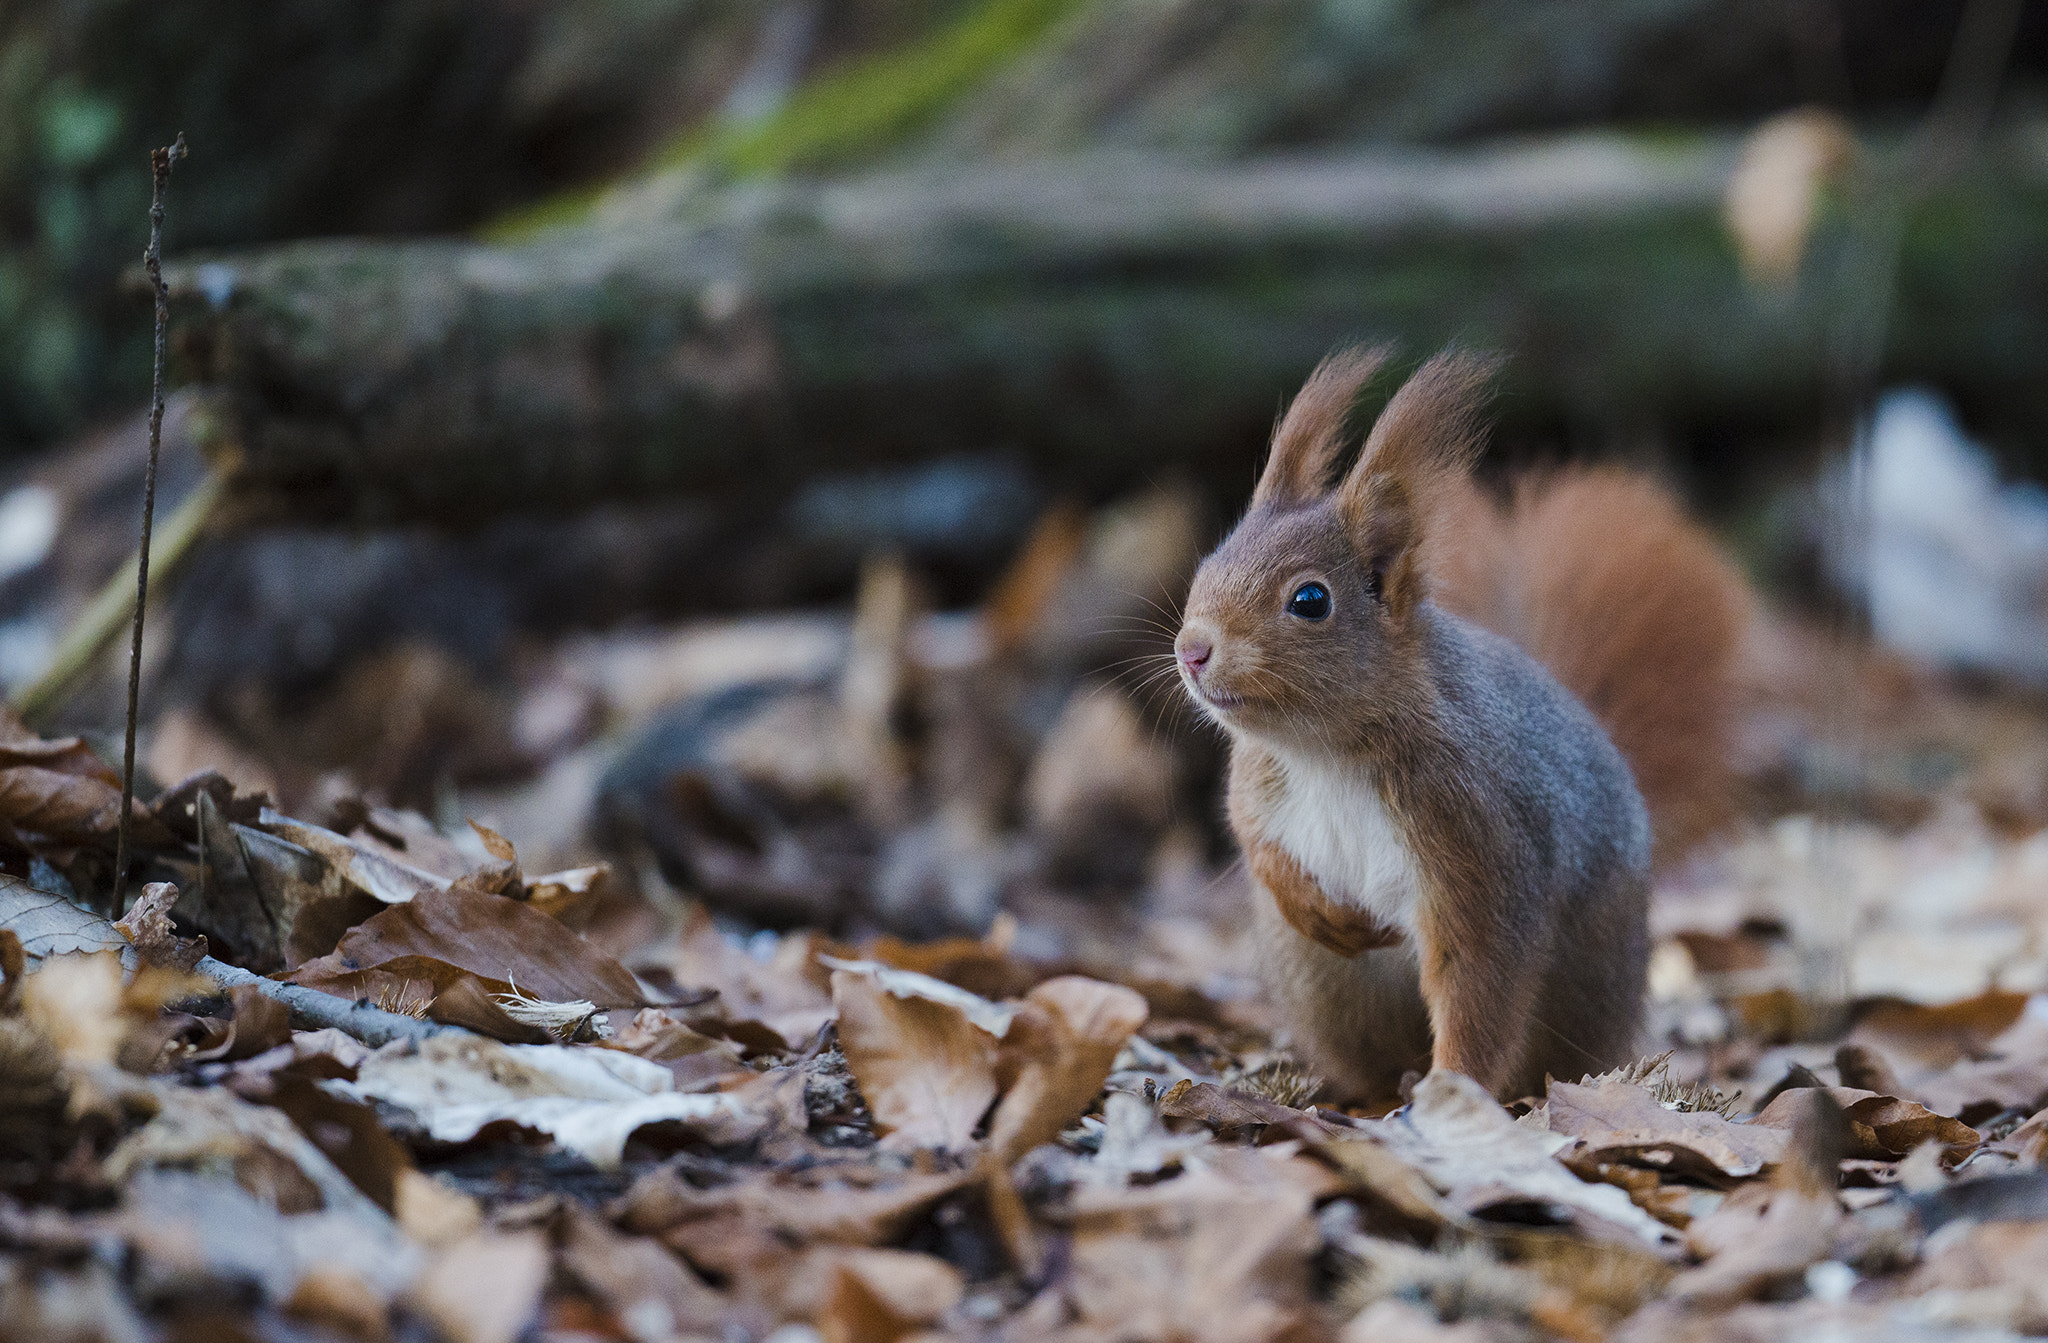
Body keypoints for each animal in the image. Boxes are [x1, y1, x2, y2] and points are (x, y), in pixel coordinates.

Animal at [1179, 345, 1753, 1105]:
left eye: (1309, 600)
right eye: (1209, 562)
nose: (1192, 649)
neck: (1324, 749)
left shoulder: (1476, 833)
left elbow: (1478, 980)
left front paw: (1451, 1087)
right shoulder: (1257, 782)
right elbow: (1252, 838)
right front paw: (1314, 906)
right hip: (1322, 985)